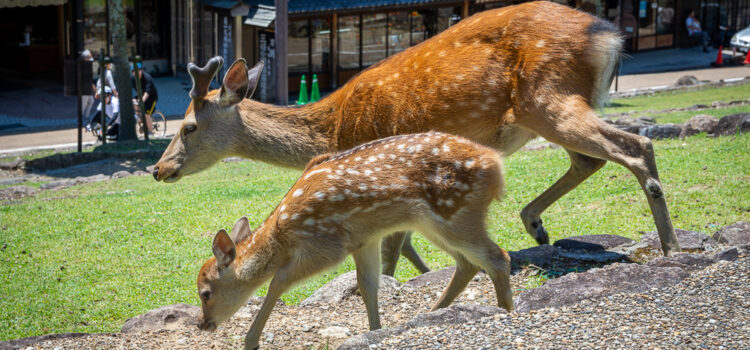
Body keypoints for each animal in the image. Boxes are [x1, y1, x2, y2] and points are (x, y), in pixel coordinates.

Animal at [153, 1, 680, 278]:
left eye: (188, 127)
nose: (158, 168)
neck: (334, 130)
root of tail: (609, 35)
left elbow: (392, 248)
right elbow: (404, 243)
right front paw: (429, 275)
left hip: (549, 96)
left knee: (635, 147)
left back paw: (671, 245)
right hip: (547, 109)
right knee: (590, 159)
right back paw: (535, 224)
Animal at [197, 132, 516, 350]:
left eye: (205, 293)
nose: (202, 324)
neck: (282, 234)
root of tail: (496, 164)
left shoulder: (327, 245)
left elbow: (278, 281)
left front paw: (250, 341)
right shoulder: (365, 241)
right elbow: (367, 286)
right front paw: (375, 332)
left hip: (455, 215)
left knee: (498, 257)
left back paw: (506, 312)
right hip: (435, 224)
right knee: (469, 263)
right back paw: (431, 313)